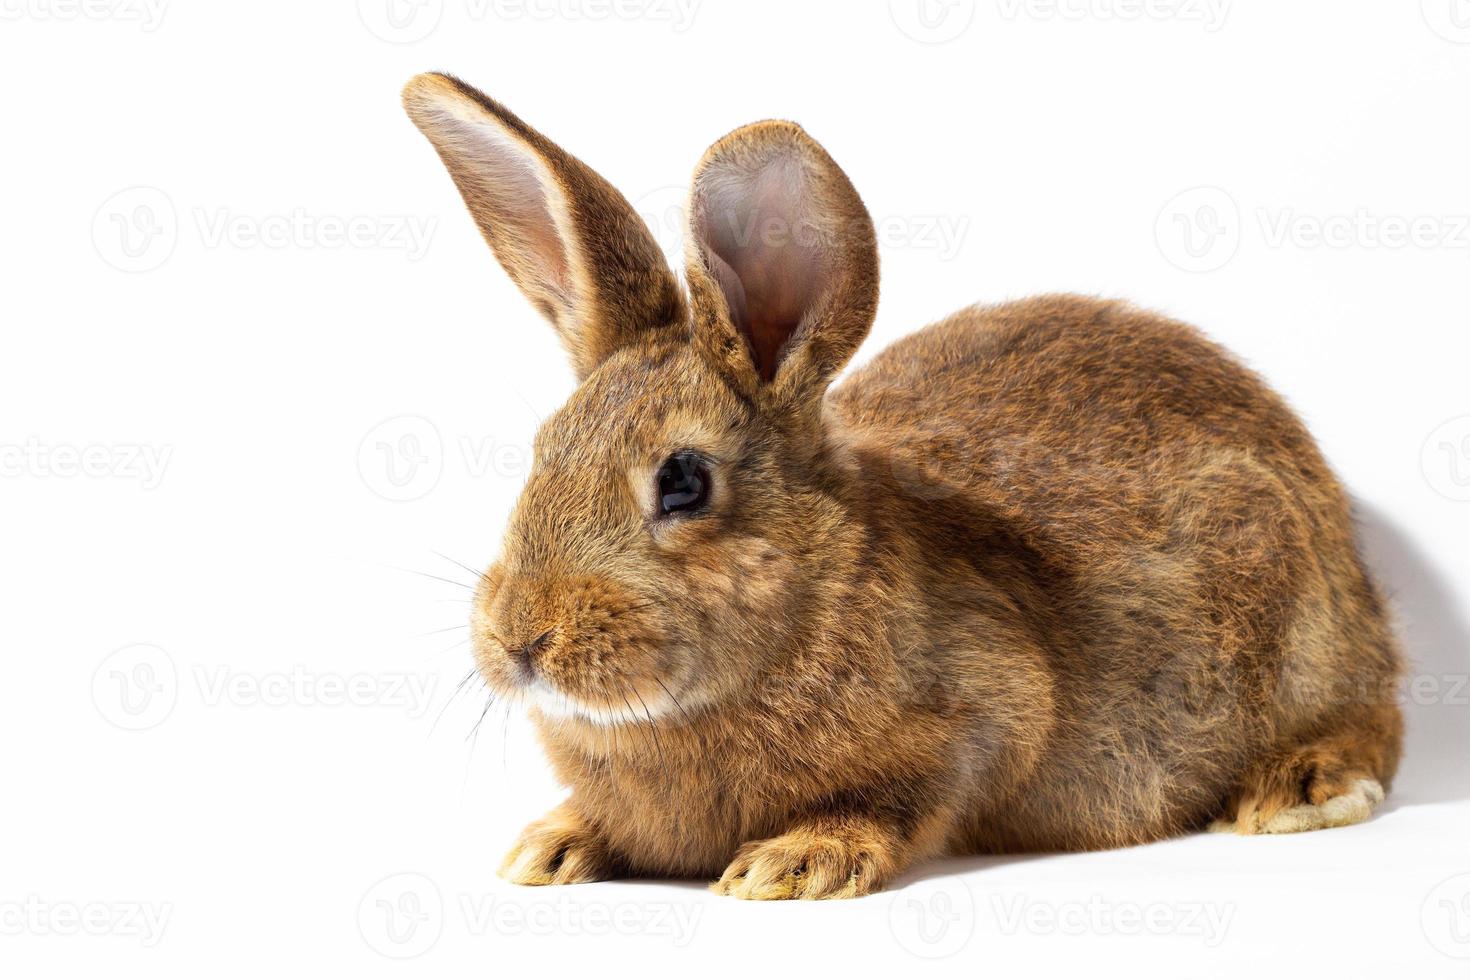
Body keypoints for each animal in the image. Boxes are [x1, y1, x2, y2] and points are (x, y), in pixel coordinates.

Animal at [399, 72, 1399, 905]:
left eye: (683, 482)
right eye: (540, 450)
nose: (521, 638)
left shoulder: (982, 721)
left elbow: (906, 798)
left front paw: (792, 864)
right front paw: (549, 847)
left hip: (1300, 623)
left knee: (1374, 719)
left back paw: (1300, 788)